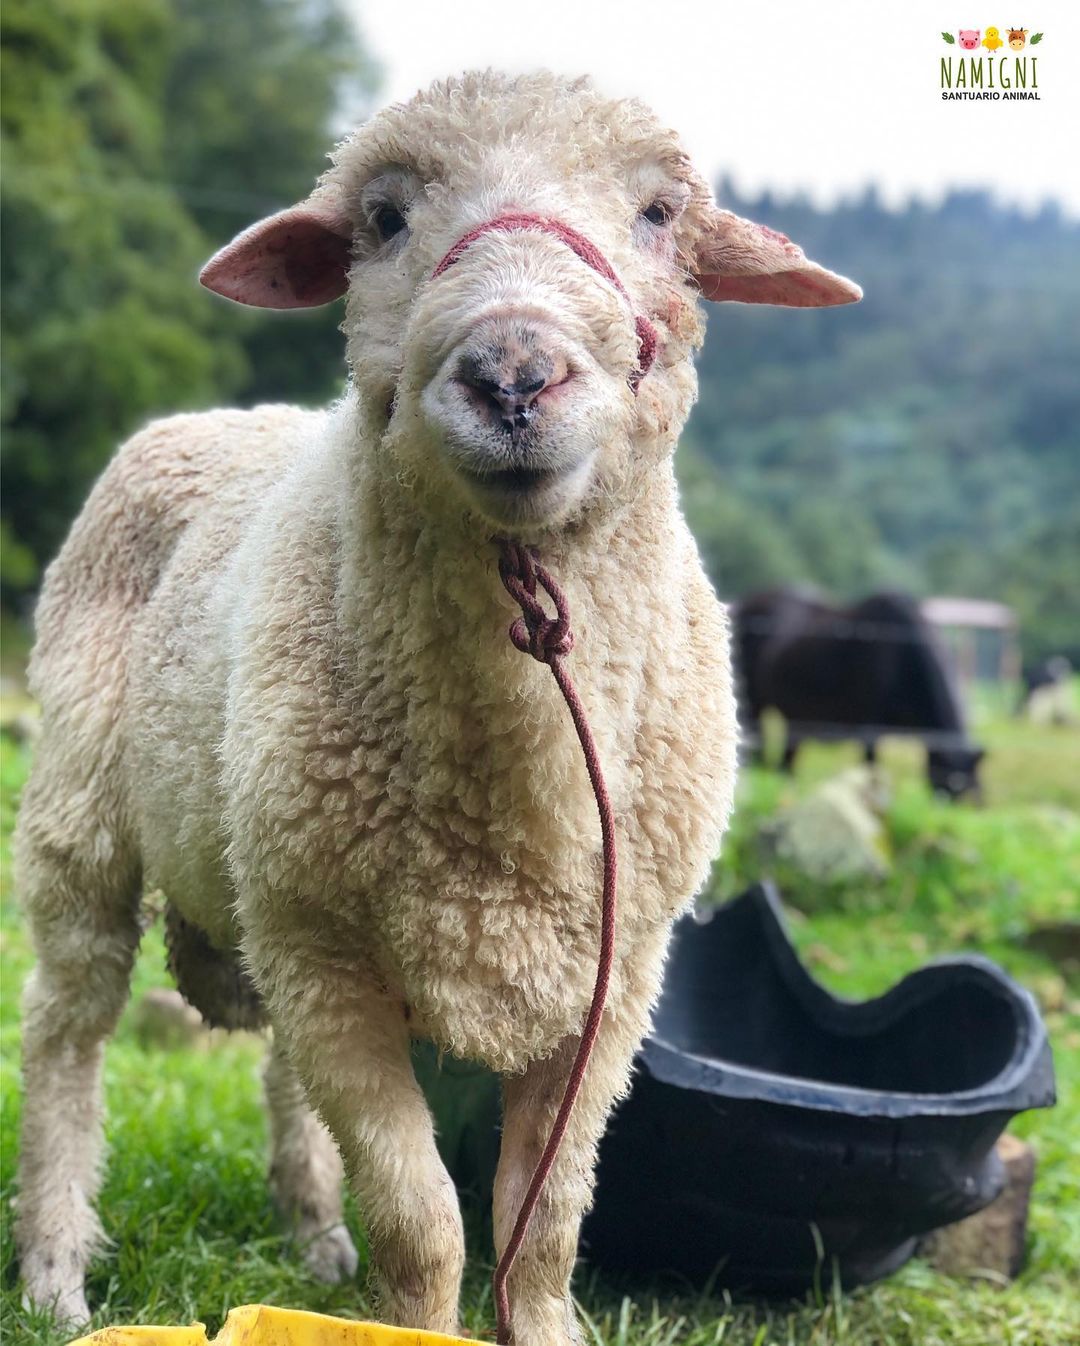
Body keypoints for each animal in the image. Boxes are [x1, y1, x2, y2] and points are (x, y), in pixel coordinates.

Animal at [14, 68, 856, 1340]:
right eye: (385, 218)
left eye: (660, 214)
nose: (512, 373)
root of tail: (228, 414)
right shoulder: (329, 958)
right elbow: (423, 1218)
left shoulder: (613, 976)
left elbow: (541, 1217)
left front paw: (540, 1320)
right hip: (92, 817)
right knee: (69, 1026)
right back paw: (56, 1267)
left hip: (264, 881)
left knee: (272, 1067)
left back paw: (314, 1233)